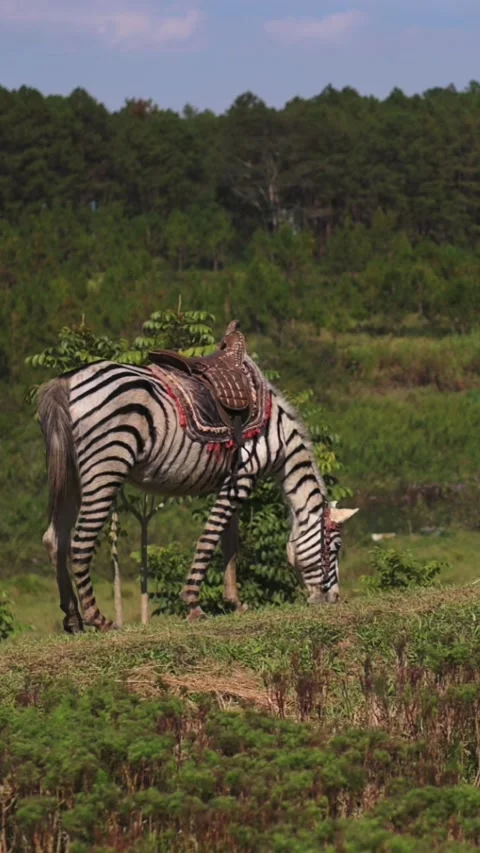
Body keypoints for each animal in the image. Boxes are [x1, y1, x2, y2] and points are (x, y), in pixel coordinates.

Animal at [38, 360, 359, 633]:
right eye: (335, 547)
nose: (334, 600)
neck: (278, 435)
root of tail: (68, 380)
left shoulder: (232, 482)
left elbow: (230, 544)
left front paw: (235, 603)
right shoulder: (244, 475)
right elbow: (210, 539)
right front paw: (193, 605)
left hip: (72, 473)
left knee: (55, 539)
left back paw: (73, 619)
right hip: (106, 465)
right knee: (80, 541)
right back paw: (99, 620)